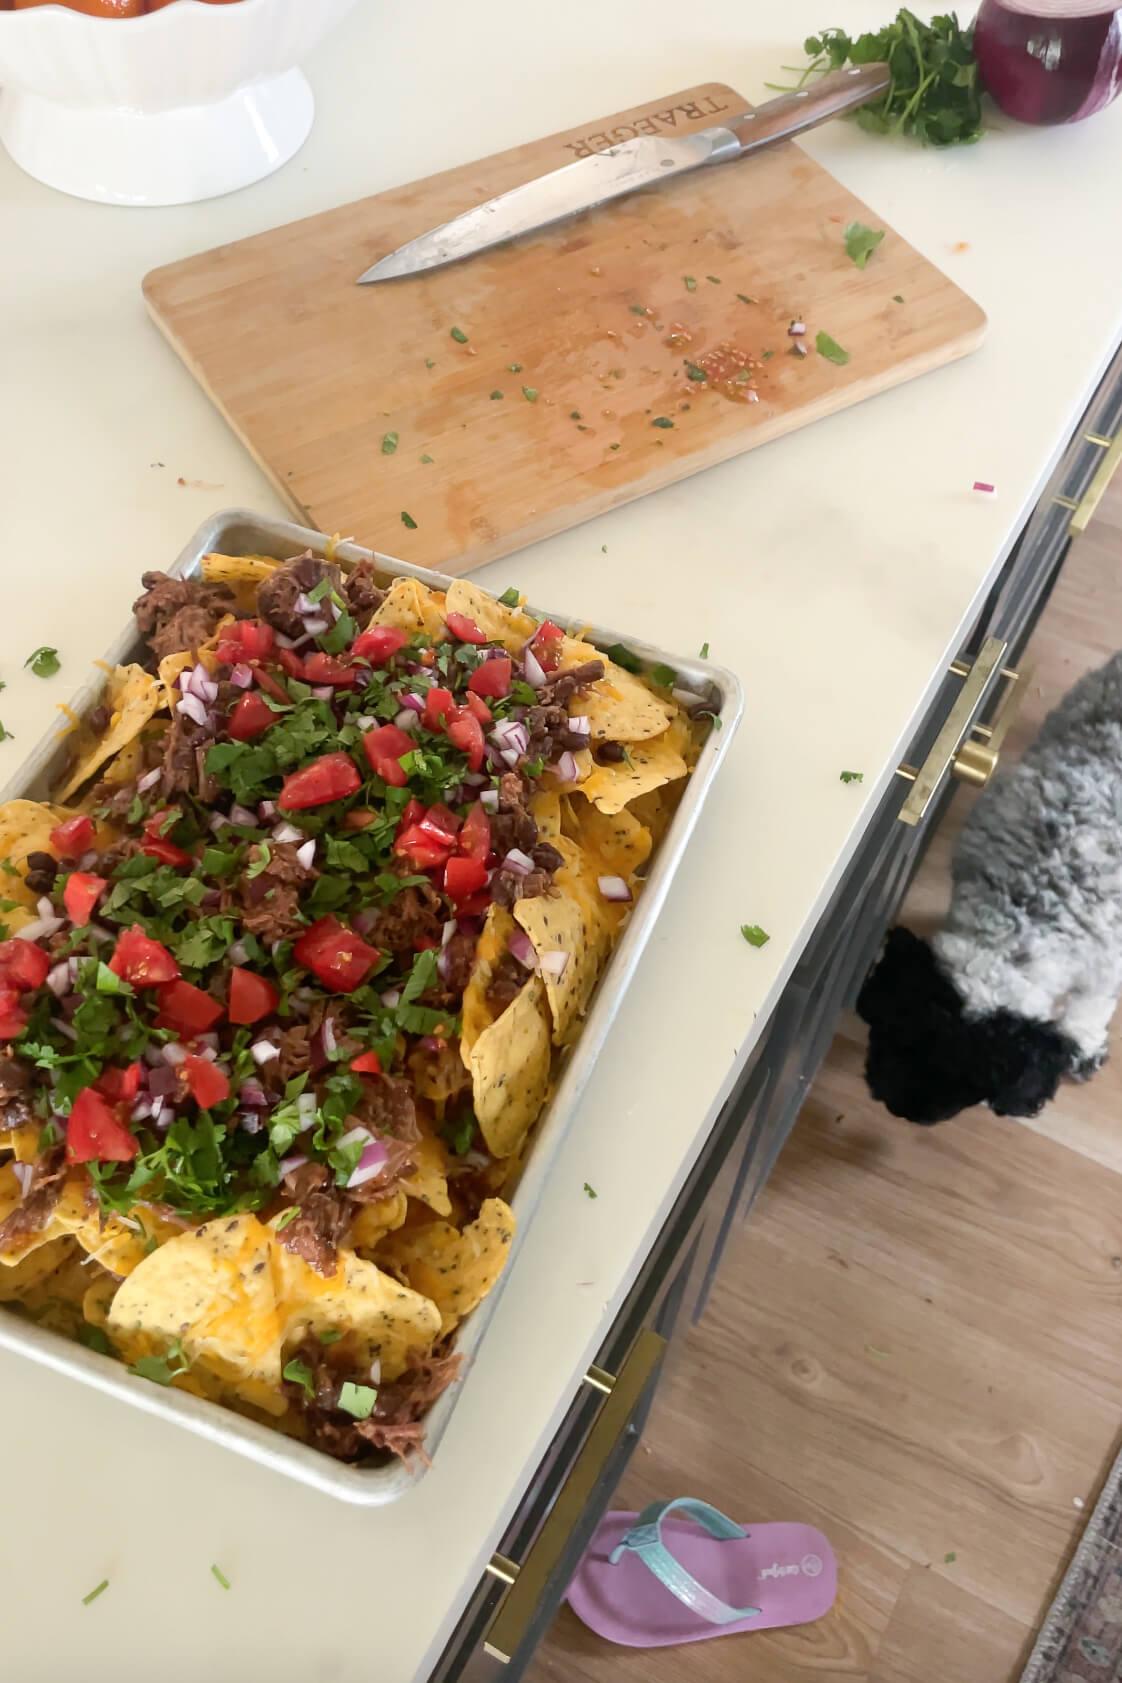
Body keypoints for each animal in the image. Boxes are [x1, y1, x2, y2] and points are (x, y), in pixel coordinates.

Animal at [861, 649, 1122, 1124]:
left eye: (974, 1082)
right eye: (894, 1037)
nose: (902, 1110)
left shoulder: (1105, 965)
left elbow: (1089, 1011)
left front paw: (1084, 1049)